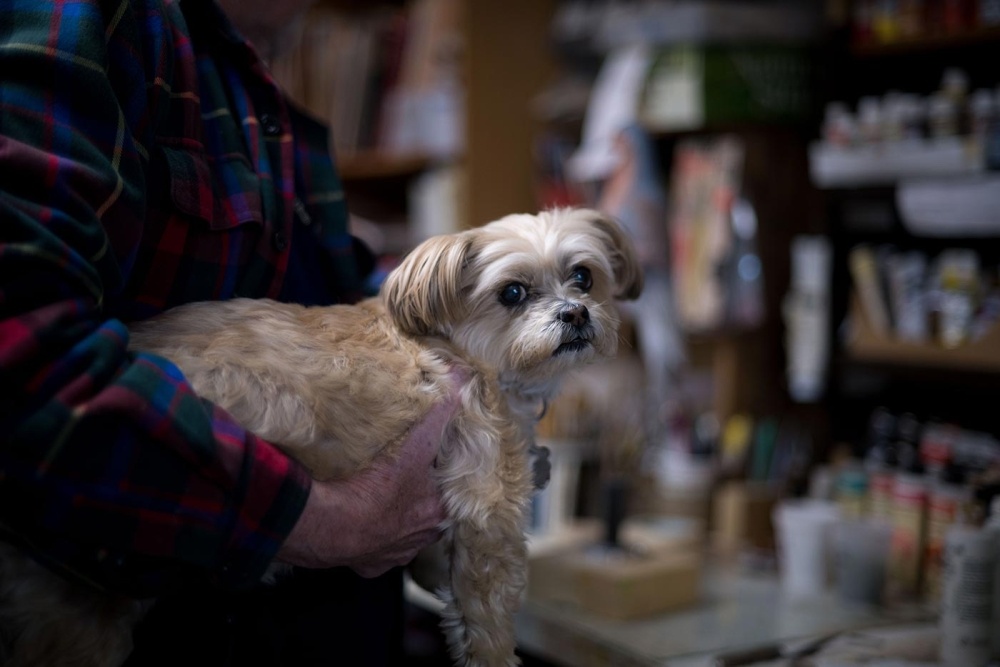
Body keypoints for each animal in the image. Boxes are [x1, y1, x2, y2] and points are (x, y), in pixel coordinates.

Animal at [0, 209, 640, 667]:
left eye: (583, 277)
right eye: (512, 293)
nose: (575, 314)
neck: (462, 351)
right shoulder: (488, 509)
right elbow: (488, 615)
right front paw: (494, 654)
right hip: (83, 619)